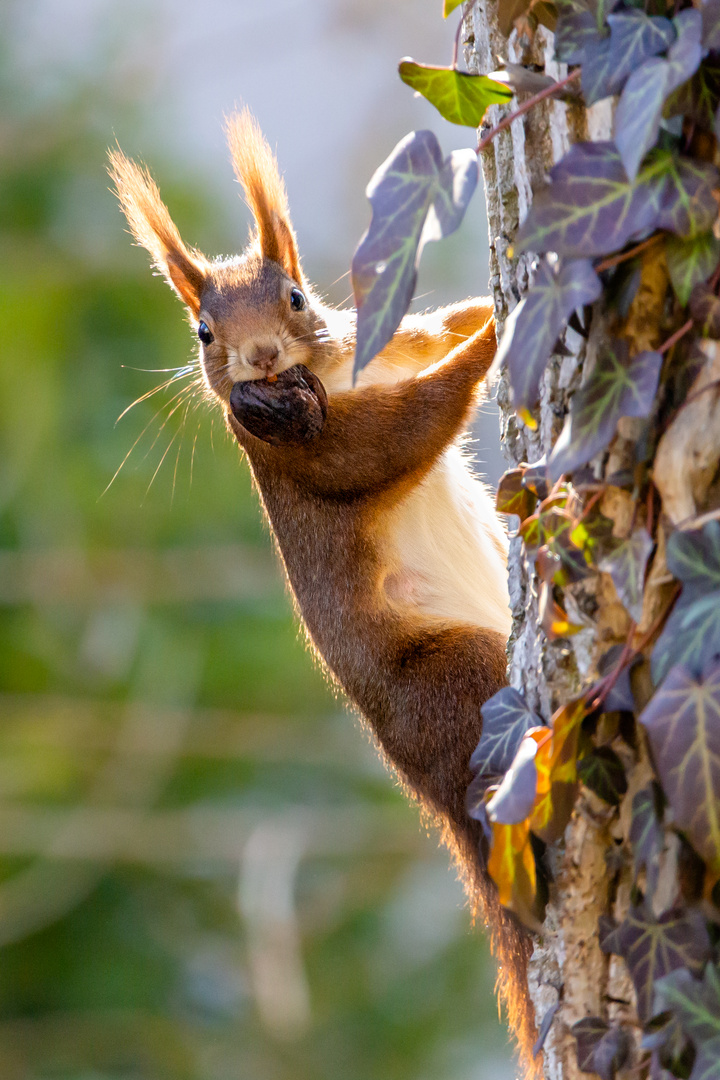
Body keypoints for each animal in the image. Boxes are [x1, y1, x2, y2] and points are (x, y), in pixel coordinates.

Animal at [106, 109, 535, 1071]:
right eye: (202, 333)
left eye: (298, 298)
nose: (261, 357)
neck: (329, 380)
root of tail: (429, 792)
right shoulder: (310, 446)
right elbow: (411, 425)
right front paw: (501, 334)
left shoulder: (385, 346)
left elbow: (432, 332)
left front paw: (485, 306)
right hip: (459, 676)